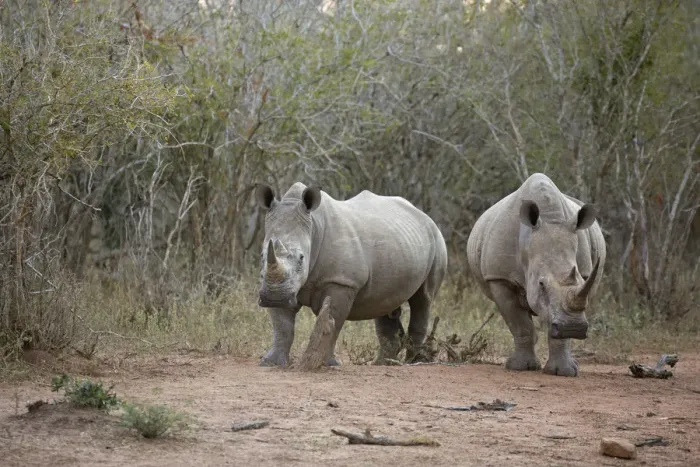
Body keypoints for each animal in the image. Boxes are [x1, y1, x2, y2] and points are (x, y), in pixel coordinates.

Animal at [254, 182, 448, 367]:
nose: (274, 298)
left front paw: (327, 363)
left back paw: (413, 361)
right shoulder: (283, 288)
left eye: (301, 258)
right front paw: (270, 363)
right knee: (384, 303)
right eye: (262, 256)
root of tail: (424, 215)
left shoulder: (342, 282)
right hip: (398, 242)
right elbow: (282, 326)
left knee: (423, 299)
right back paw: (383, 363)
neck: (313, 228)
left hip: (437, 241)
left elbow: (334, 323)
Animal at [467, 173, 606, 376]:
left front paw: (563, 371)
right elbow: (519, 324)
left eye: (581, 279)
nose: (573, 327)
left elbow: (557, 328)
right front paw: (520, 367)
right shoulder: (499, 277)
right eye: (541, 284)